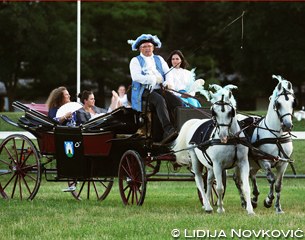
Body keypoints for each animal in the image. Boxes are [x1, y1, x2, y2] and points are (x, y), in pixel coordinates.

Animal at [172, 85, 253, 215]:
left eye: (231, 112)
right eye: (214, 112)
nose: (223, 136)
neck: (232, 140)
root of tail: (195, 121)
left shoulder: (243, 162)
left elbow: (245, 187)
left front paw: (250, 210)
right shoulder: (218, 164)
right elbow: (220, 188)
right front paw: (220, 208)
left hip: (209, 165)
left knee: (208, 181)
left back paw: (206, 203)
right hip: (196, 159)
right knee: (199, 180)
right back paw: (208, 206)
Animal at [240, 75, 294, 214]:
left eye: (293, 103)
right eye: (278, 104)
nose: (287, 125)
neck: (277, 138)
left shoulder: (284, 163)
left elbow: (278, 185)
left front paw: (278, 208)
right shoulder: (264, 161)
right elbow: (271, 178)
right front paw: (268, 201)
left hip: (252, 163)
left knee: (251, 175)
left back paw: (253, 199)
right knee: (237, 179)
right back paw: (244, 202)